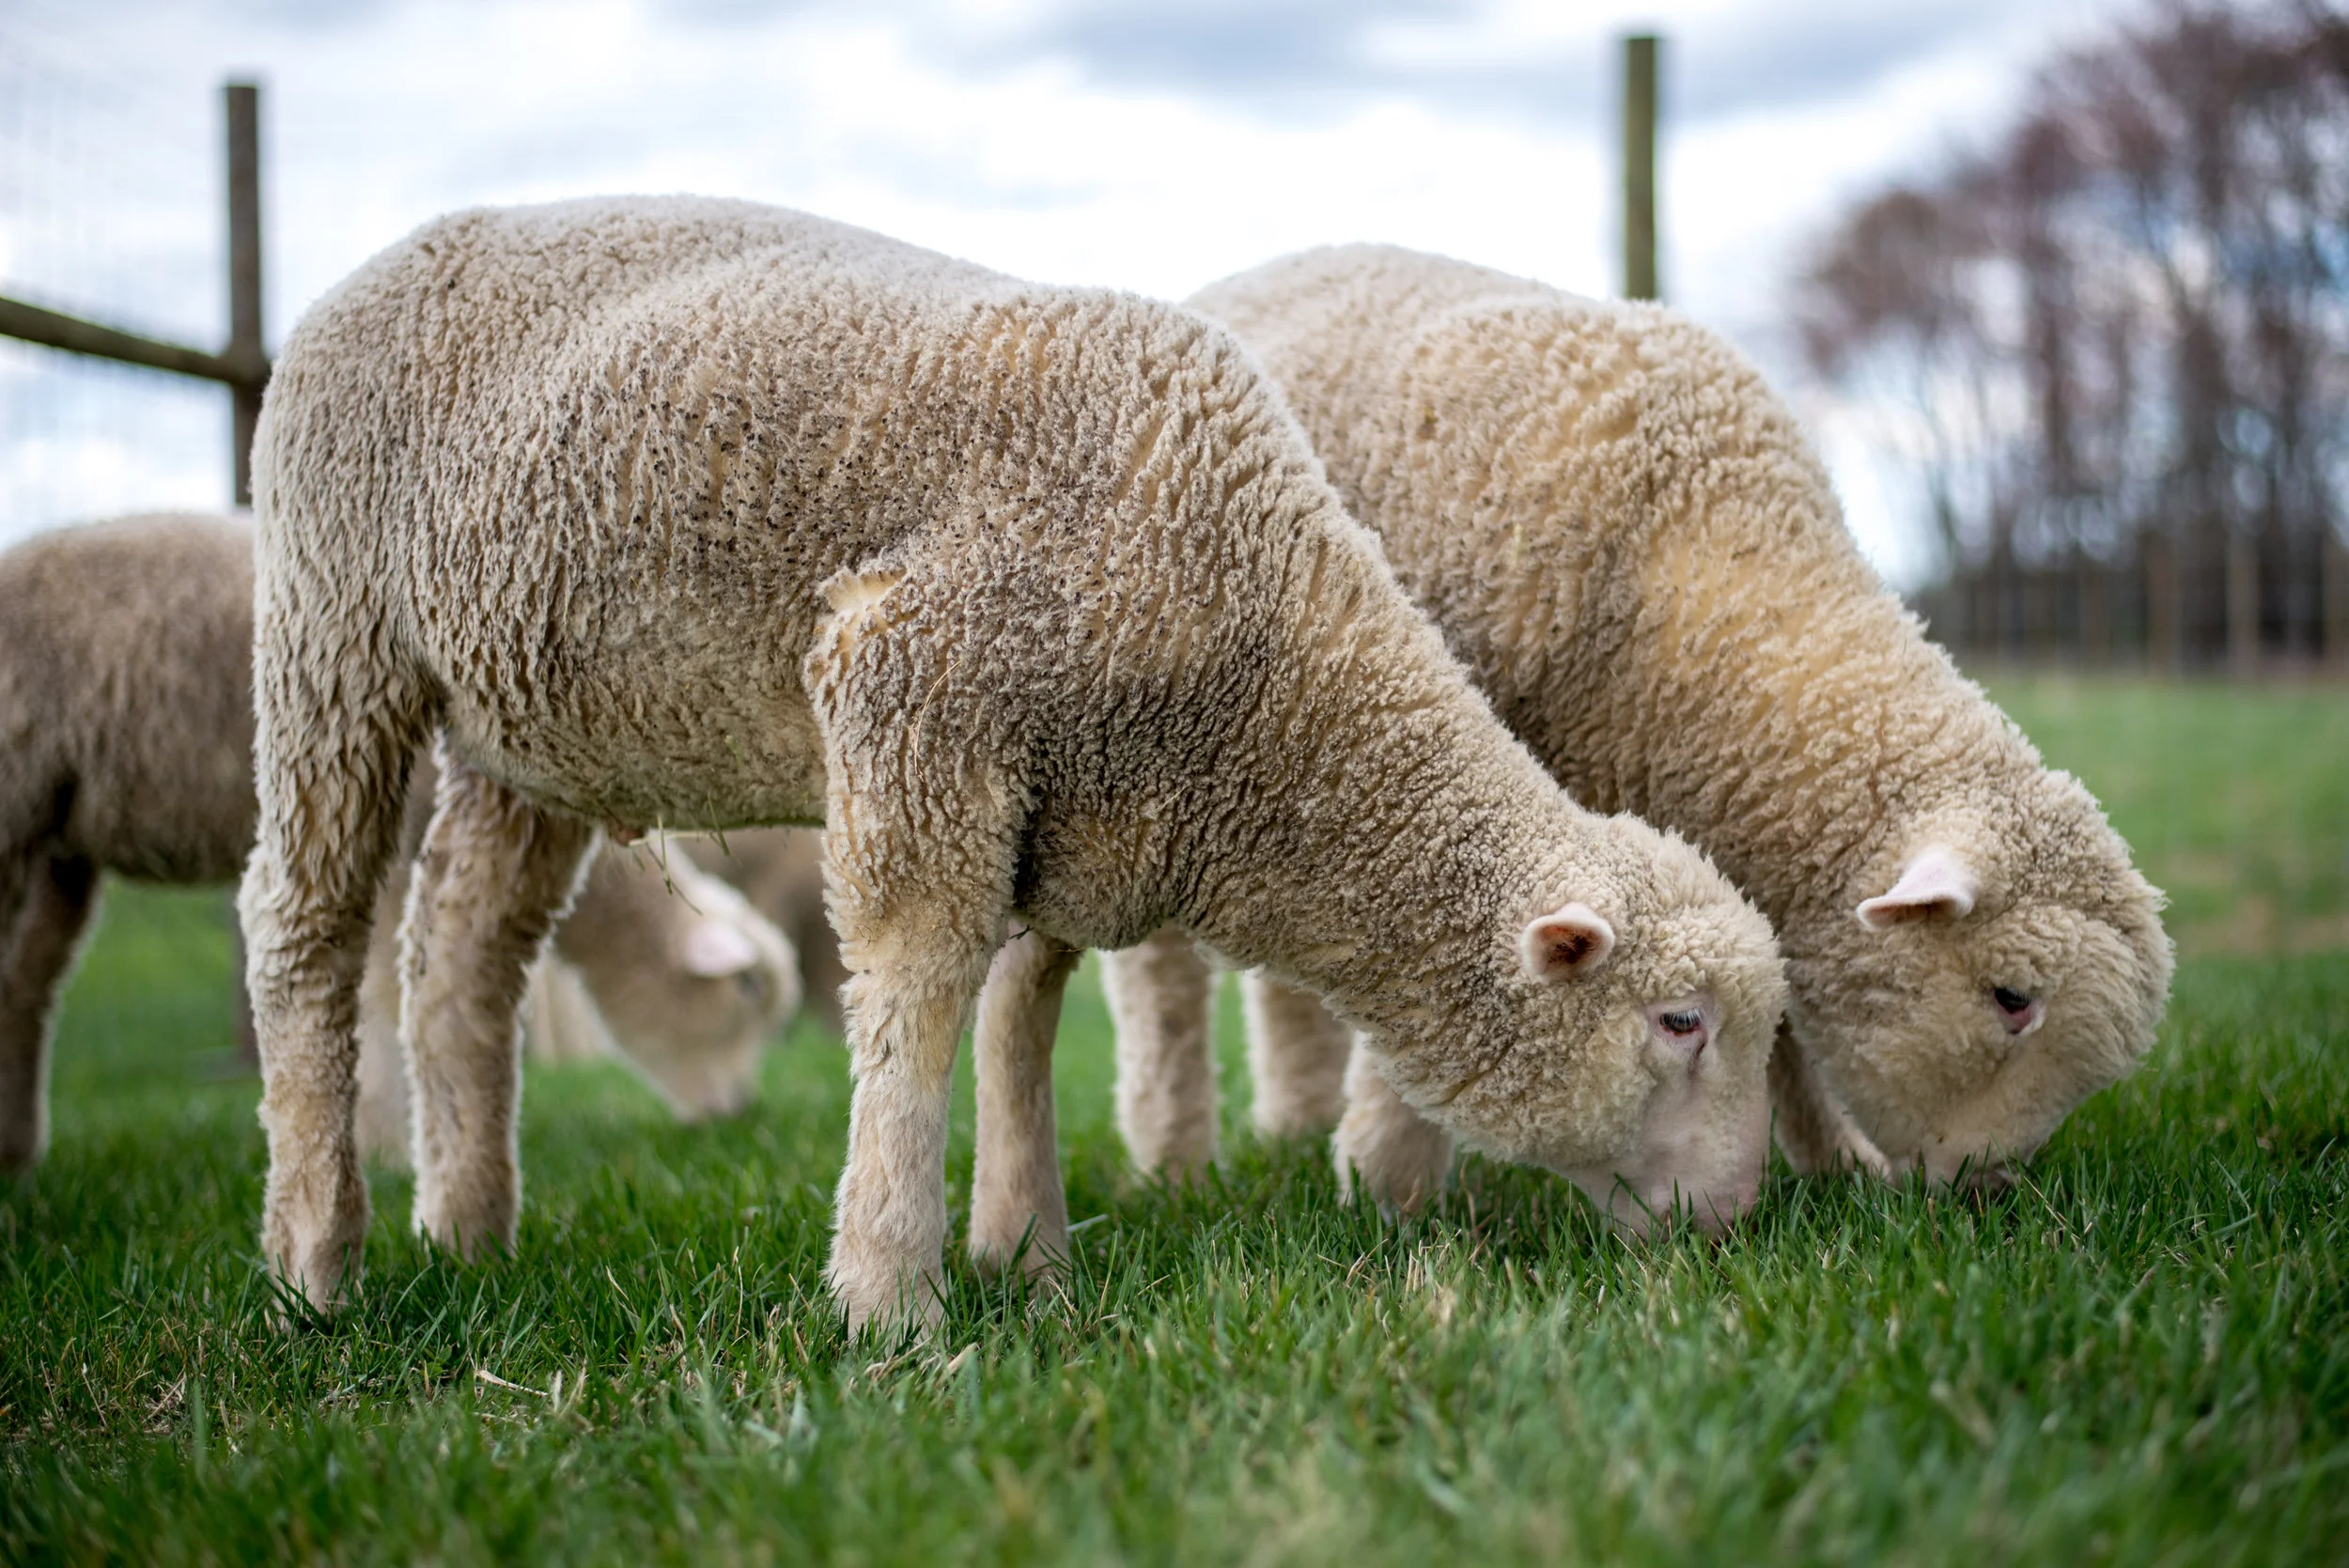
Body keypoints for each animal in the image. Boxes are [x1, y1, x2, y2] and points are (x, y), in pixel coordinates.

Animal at [0, 511, 796, 1174]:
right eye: (747, 991)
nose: (739, 1115)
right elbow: (379, 996)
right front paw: (386, 1146)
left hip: (59, 846)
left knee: (28, 983)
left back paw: (20, 1156)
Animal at [240, 195, 1786, 1331]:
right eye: (1679, 1023)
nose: (1737, 1229)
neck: (1260, 679)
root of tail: (369, 271)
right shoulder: (913, 686)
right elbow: (921, 987)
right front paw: (893, 1297)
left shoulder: (1074, 805)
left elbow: (1023, 1009)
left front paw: (1023, 1254)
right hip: (333, 630)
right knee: (303, 927)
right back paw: (318, 1259)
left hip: (524, 719)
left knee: (461, 950)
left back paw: (469, 1231)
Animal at [1101, 243, 2172, 1200]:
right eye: (2011, 999)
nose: (1988, 1193)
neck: (1707, 568)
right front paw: (1388, 1178)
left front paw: (1834, 1163)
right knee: (1161, 986)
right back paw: (1174, 1157)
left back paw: (1290, 1121)